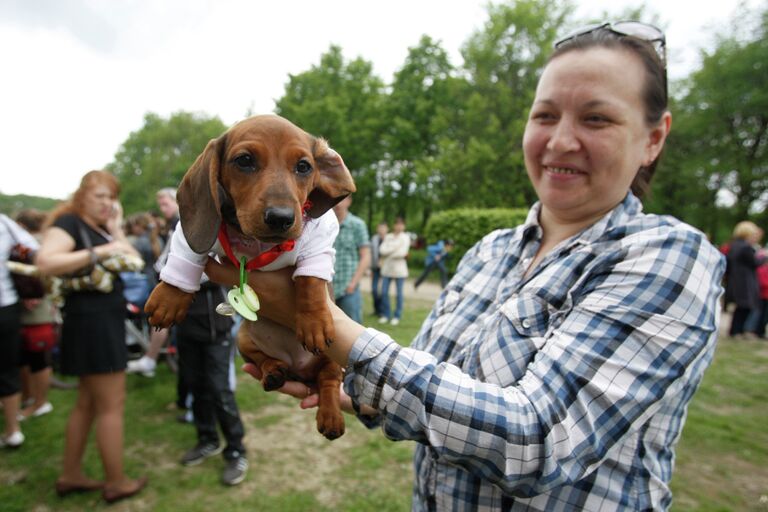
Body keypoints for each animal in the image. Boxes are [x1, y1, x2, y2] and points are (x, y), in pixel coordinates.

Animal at [146, 115, 356, 440]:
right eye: (244, 161)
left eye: (304, 166)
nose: (281, 218)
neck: (257, 244)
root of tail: (299, 368)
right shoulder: (190, 234)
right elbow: (186, 256)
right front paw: (168, 299)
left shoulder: (319, 241)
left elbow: (310, 281)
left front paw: (314, 322)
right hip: (243, 338)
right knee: (266, 359)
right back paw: (274, 372)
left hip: (334, 357)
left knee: (329, 380)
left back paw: (331, 416)